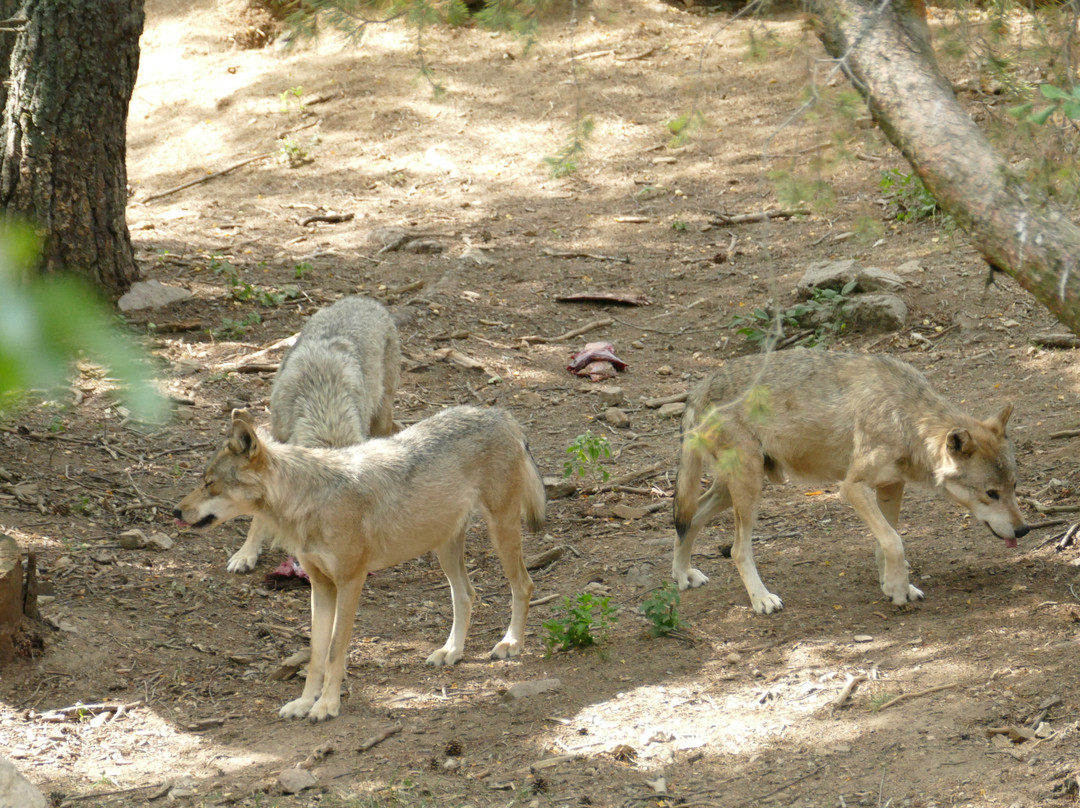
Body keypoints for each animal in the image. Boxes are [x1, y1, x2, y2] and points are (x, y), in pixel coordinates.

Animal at [180, 406, 548, 721]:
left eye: (209, 483)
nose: (175, 511)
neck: (312, 500)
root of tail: (501, 414)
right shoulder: (320, 588)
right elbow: (316, 653)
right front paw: (304, 702)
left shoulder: (351, 582)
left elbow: (334, 652)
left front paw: (326, 706)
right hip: (445, 548)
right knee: (467, 595)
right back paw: (451, 651)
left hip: (500, 531)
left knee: (523, 585)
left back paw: (510, 643)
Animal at [673, 347, 1028, 613]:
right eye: (991, 493)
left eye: (1013, 487)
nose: (1024, 530)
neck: (904, 419)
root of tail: (699, 388)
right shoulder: (852, 487)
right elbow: (893, 541)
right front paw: (897, 588)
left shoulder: (891, 486)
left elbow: (887, 540)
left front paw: (893, 585)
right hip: (749, 487)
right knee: (736, 549)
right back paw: (762, 599)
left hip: (735, 488)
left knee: (688, 519)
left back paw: (683, 576)